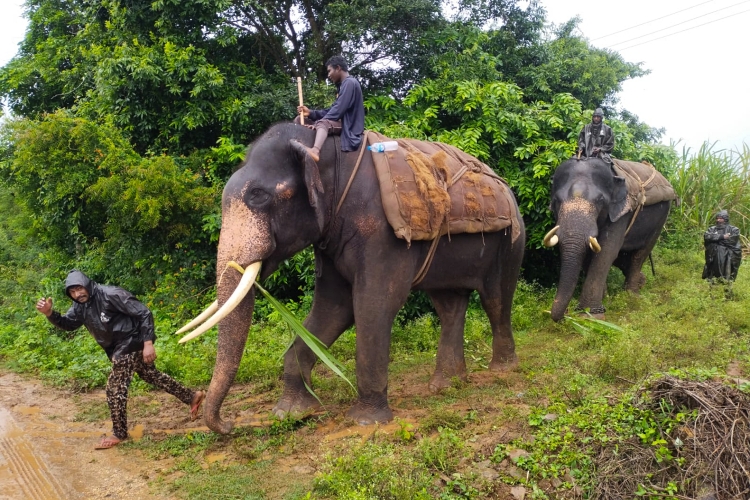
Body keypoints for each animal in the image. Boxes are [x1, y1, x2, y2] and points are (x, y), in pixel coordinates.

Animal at [544, 155, 672, 320]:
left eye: (600, 200)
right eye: (557, 201)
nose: (565, 315)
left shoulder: (621, 213)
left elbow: (606, 252)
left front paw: (590, 316)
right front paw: (604, 299)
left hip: (662, 217)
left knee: (641, 253)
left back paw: (632, 295)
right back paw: (641, 282)